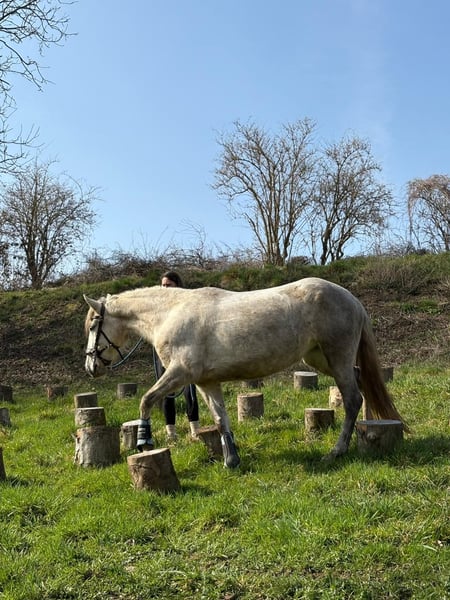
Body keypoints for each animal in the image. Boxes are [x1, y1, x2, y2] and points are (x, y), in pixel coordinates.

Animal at [84, 278, 407, 468]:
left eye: (93, 325)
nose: (90, 367)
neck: (172, 313)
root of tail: (352, 299)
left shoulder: (180, 373)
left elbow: (146, 400)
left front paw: (144, 441)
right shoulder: (205, 382)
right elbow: (220, 419)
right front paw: (231, 459)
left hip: (336, 358)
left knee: (352, 398)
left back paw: (337, 450)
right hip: (321, 359)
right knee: (360, 381)